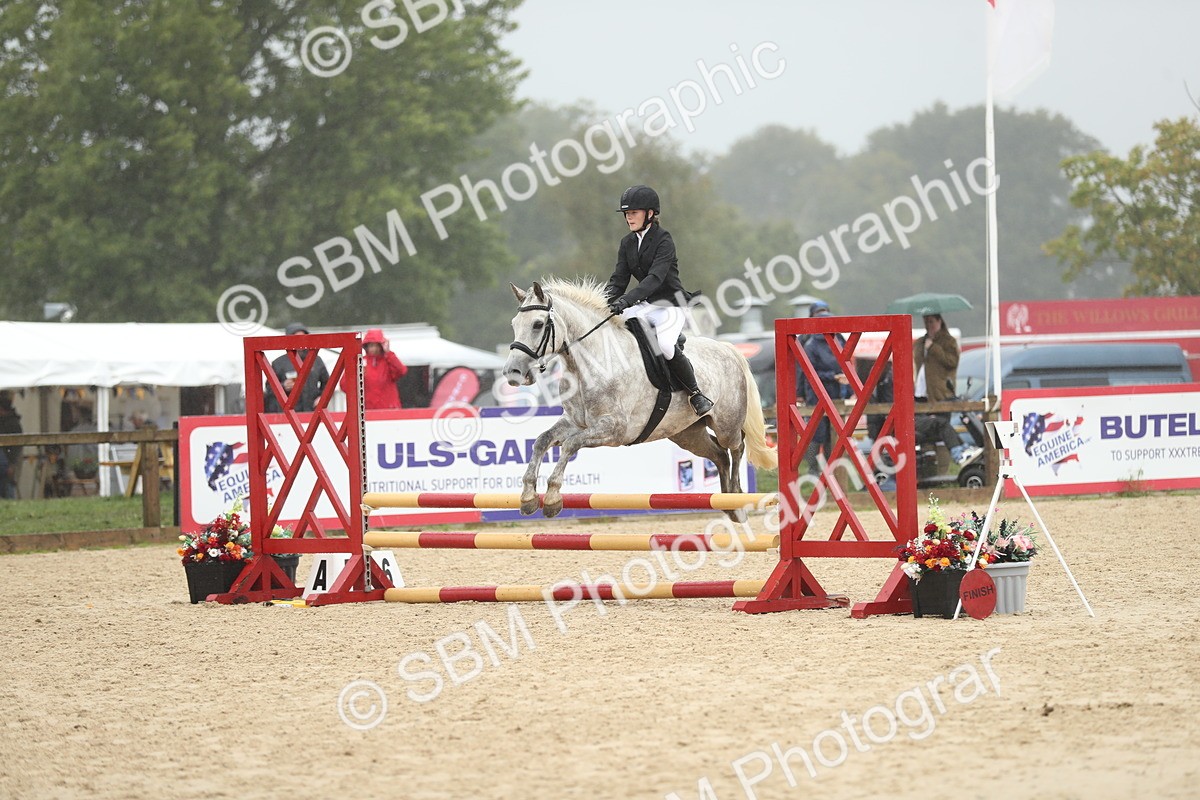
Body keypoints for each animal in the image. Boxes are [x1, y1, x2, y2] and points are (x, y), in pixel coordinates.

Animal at [502, 277, 777, 521]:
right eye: (514, 323)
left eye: (538, 325)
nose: (512, 373)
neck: (590, 363)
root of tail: (729, 349)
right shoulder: (574, 422)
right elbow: (541, 441)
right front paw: (527, 497)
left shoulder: (613, 429)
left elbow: (570, 445)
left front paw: (551, 498)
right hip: (687, 434)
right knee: (719, 454)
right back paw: (728, 504)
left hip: (726, 424)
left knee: (736, 447)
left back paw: (738, 504)